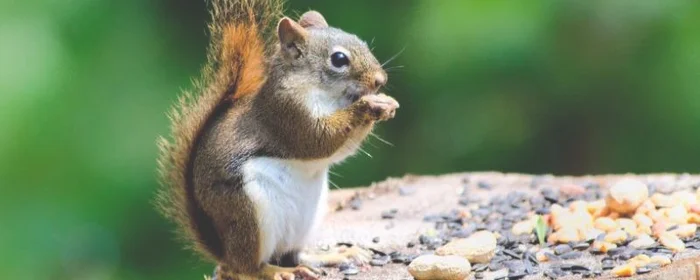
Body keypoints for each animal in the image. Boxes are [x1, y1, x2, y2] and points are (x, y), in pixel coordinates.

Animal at [159, 0, 400, 280]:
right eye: (339, 59)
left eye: (361, 42)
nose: (381, 80)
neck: (327, 94)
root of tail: (223, 251)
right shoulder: (287, 114)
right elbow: (317, 140)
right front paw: (367, 106)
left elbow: (341, 149)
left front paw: (385, 103)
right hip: (248, 214)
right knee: (247, 267)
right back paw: (275, 271)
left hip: (306, 222)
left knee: (293, 255)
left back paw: (335, 255)